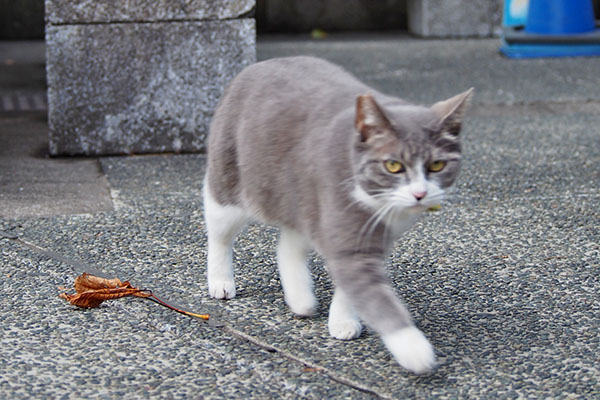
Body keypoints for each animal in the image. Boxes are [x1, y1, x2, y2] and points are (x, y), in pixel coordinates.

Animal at [204, 56, 472, 376]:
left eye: (437, 165)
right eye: (393, 165)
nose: (420, 193)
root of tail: (257, 65)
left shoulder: (367, 239)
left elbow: (349, 285)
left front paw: (343, 320)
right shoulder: (345, 226)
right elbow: (375, 297)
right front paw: (413, 348)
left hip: (301, 198)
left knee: (289, 246)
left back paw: (301, 299)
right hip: (230, 182)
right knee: (219, 233)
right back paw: (221, 281)